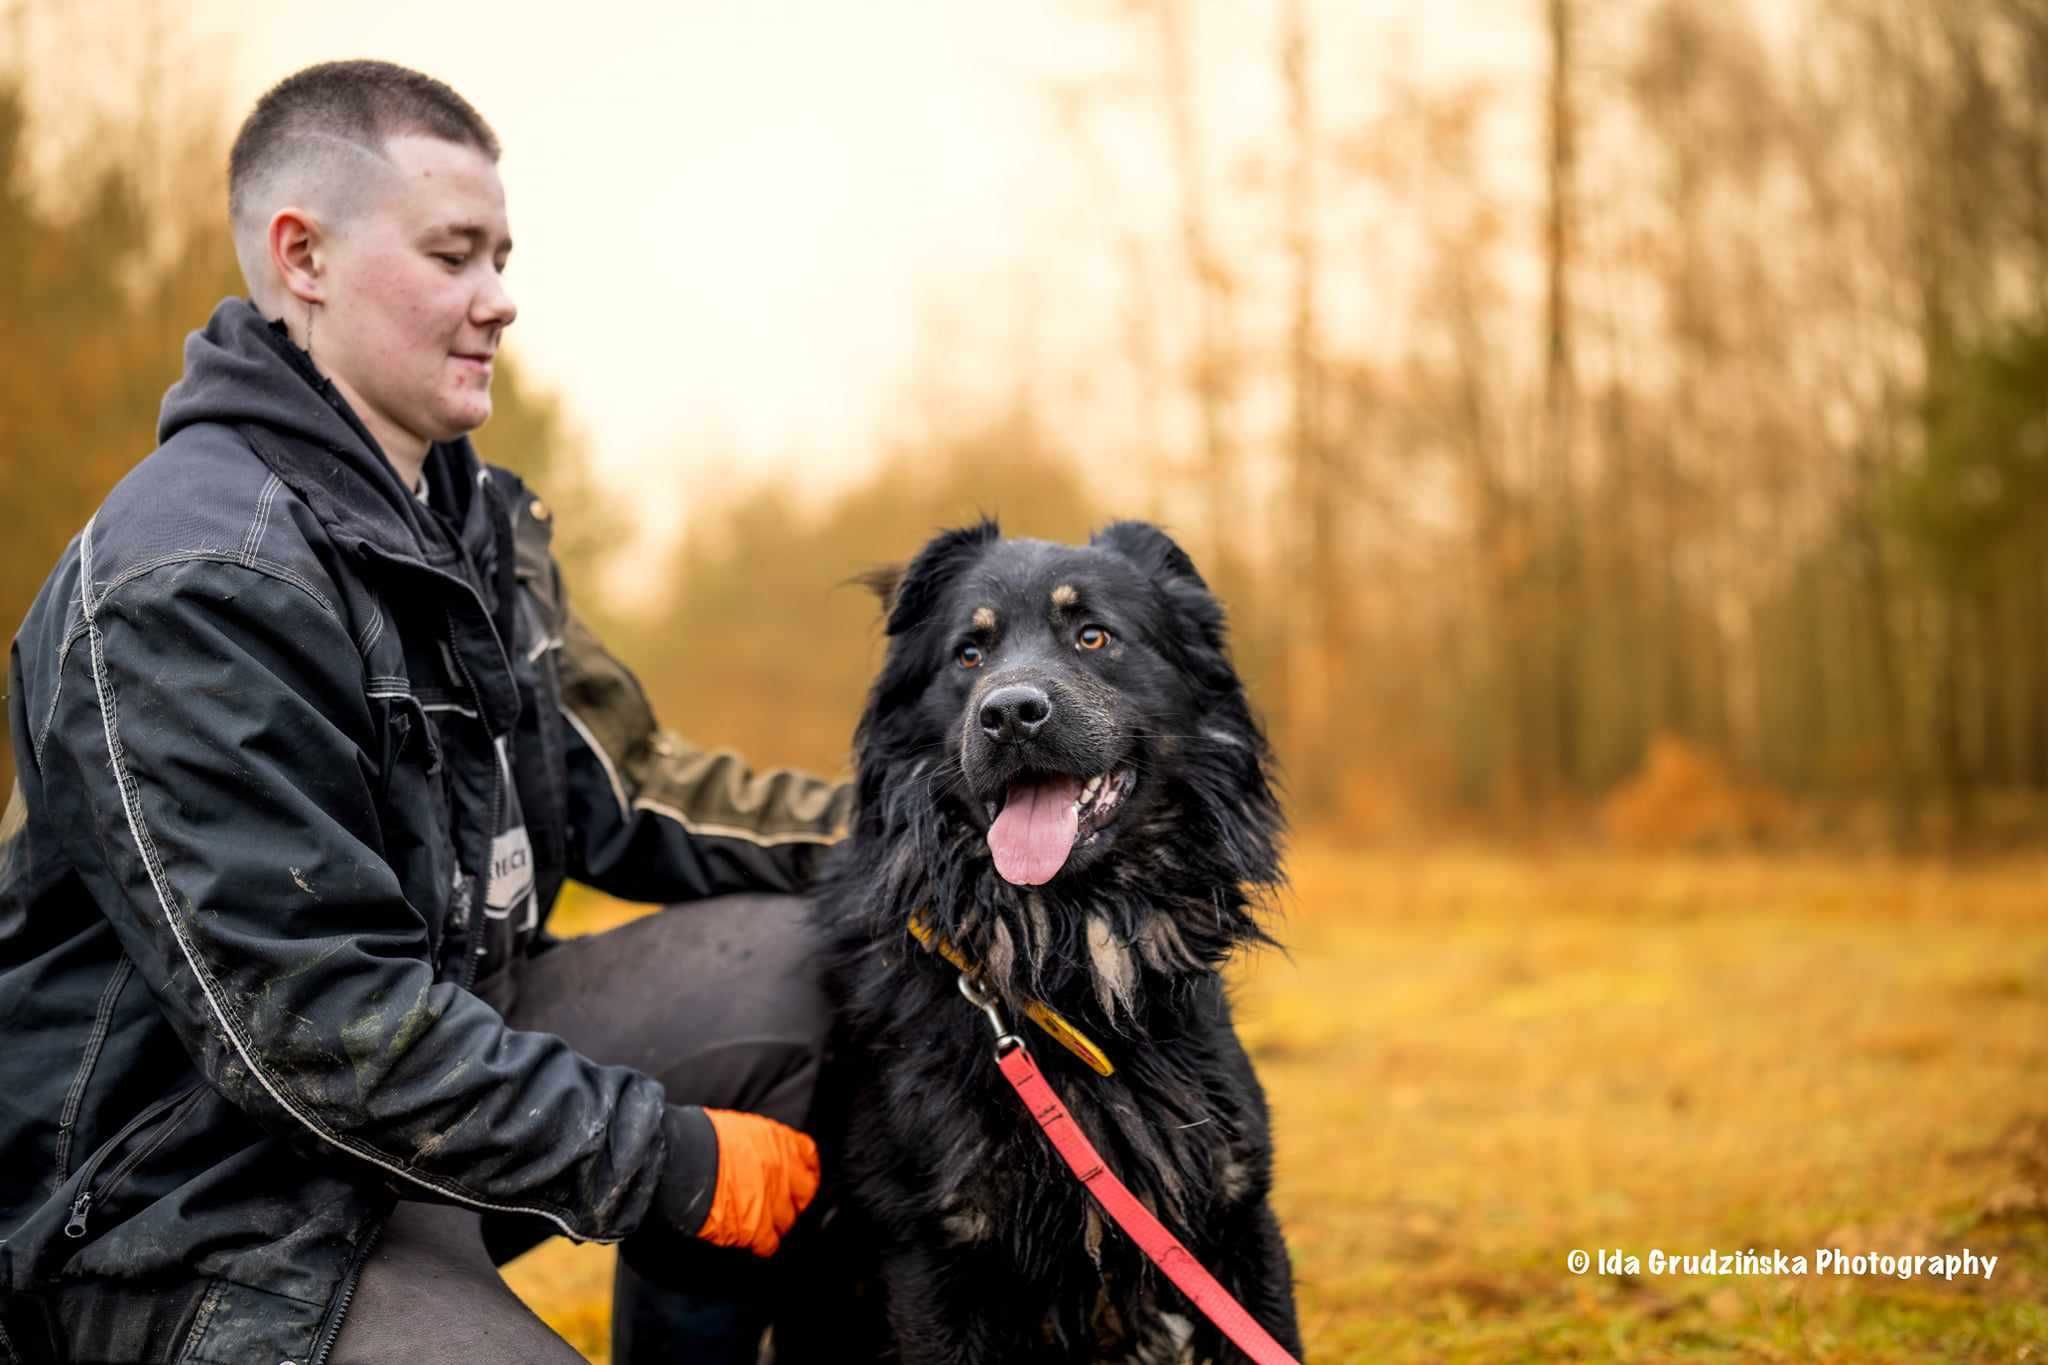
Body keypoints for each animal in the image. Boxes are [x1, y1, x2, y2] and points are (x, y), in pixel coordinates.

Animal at [774, 517, 1302, 1358]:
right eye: (969, 652)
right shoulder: (930, 1250)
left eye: (1093, 636)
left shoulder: (1236, 1211)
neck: (1062, 950)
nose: (1010, 714)